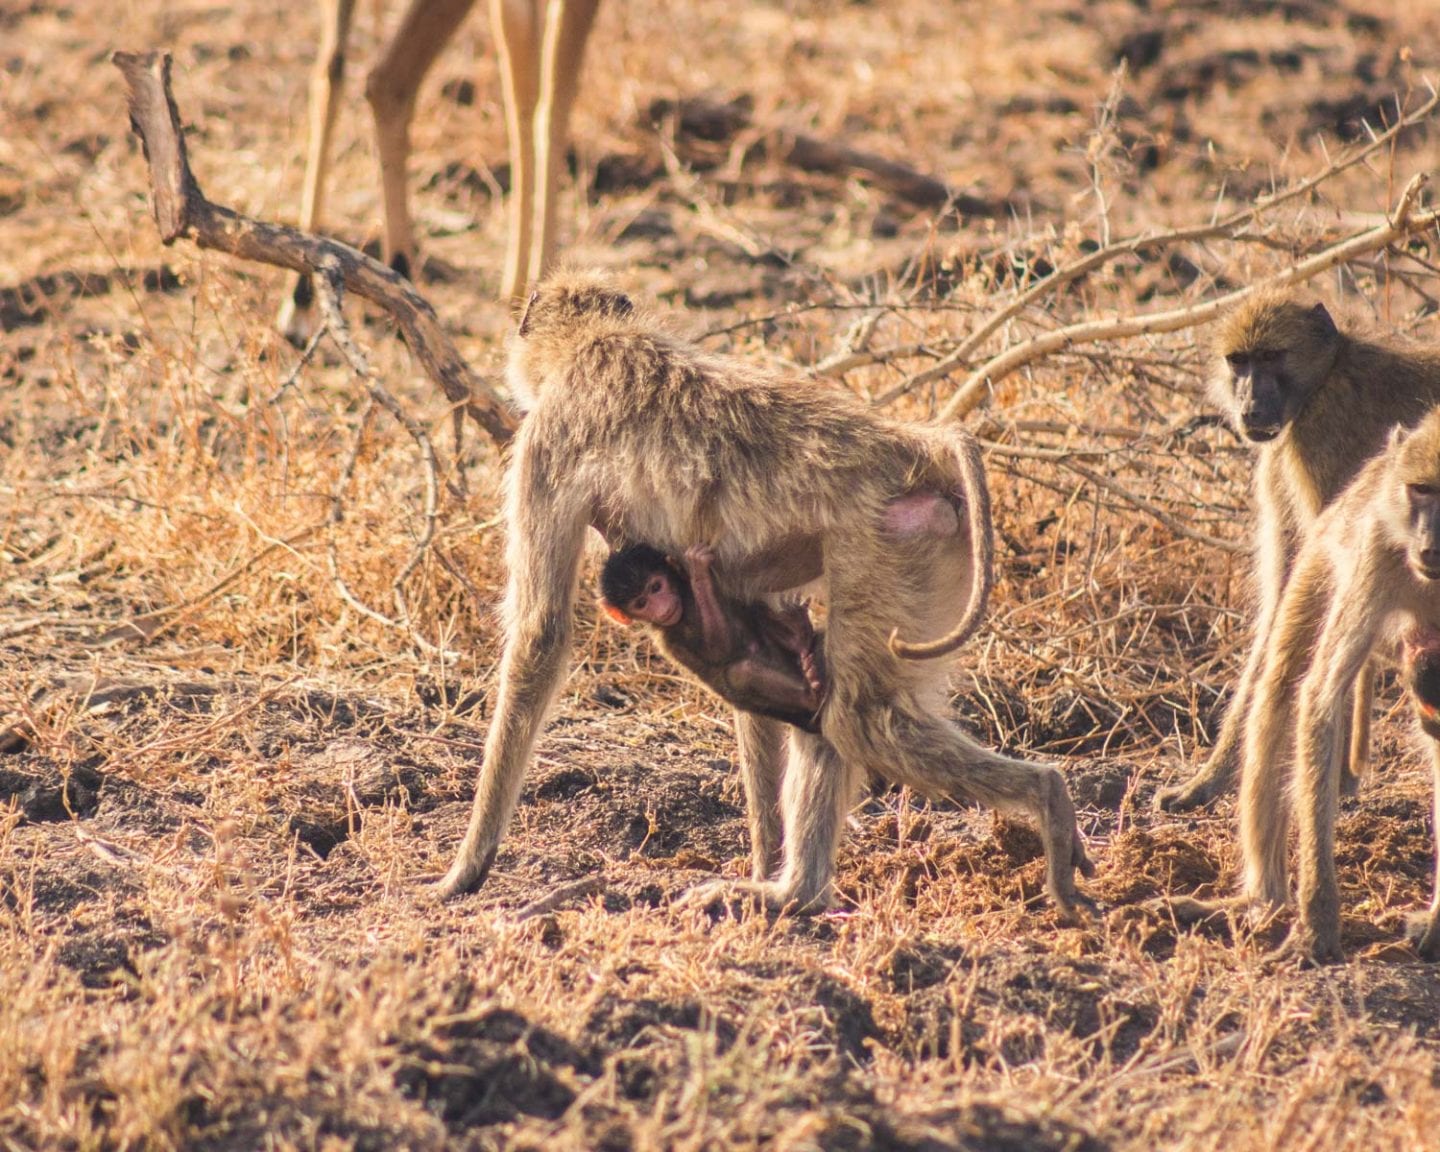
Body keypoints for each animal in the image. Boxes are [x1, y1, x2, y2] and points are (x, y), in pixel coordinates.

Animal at [600, 543, 827, 732]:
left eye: (656, 587)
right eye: (641, 603)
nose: (662, 609)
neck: (686, 600)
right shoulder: (671, 636)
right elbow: (719, 650)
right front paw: (698, 573)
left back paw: (800, 637)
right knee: (740, 673)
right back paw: (810, 694)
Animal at [1156, 290, 1440, 813]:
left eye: (1272, 357)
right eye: (1239, 361)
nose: (1250, 408)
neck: (1327, 373)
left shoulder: (1319, 439)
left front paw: (1335, 781)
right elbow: (1286, 605)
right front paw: (1208, 781)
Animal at [1237, 407, 1440, 963]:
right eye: (1421, 491)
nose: (1429, 546)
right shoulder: (1376, 555)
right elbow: (1321, 697)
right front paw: (1317, 927)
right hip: (1324, 554)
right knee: (1284, 690)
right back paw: (1267, 901)